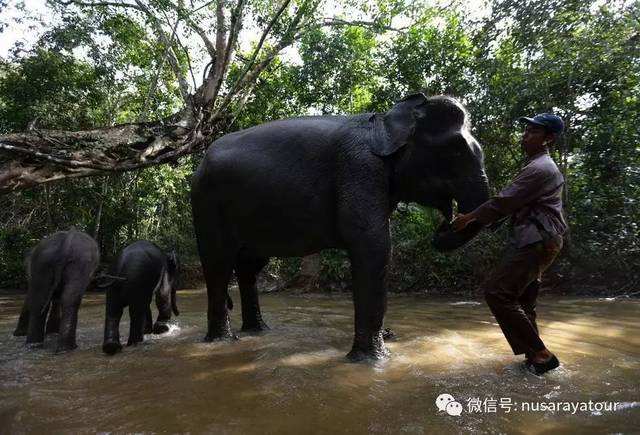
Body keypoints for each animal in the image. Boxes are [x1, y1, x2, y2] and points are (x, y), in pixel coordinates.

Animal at [190, 93, 490, 362]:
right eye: (455, 150)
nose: (445, 224)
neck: (385, 121)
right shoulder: (360, 169)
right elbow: (373, 246)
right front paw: (373, 359)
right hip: (207, 204)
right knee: (218, 264)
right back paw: (222, 340)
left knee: (249, 266)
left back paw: (257, 331)